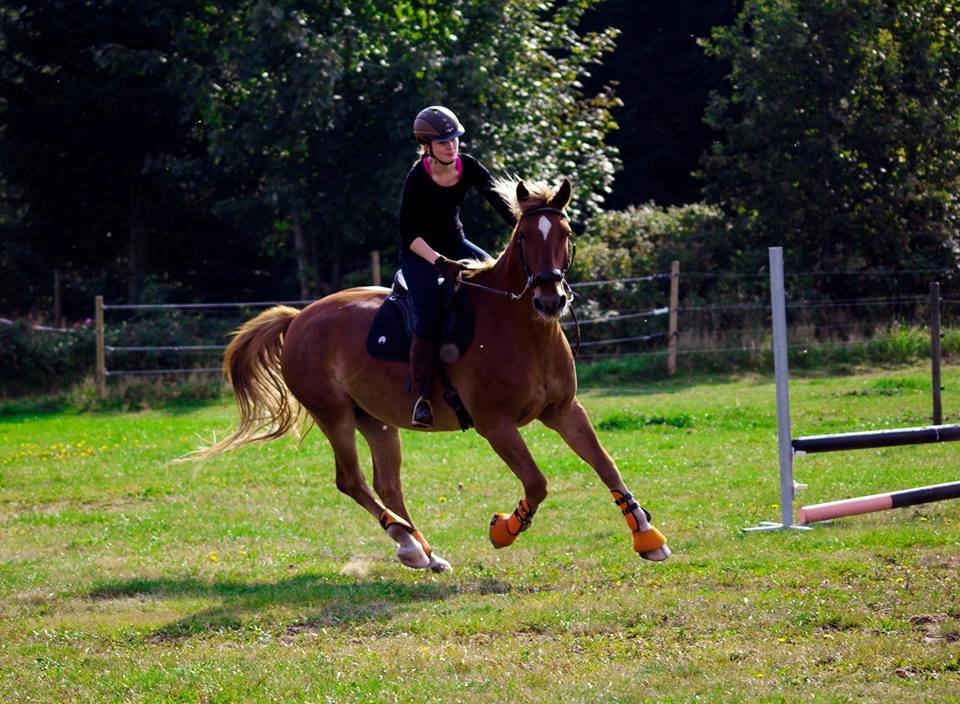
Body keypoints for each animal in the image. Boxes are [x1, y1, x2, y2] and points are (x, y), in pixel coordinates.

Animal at [191, 177, 672, 572]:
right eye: (523, 240)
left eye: (566, 235)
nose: (550, 301)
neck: (521, 329)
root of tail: (298, 319)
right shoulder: (495, 425)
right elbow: (536, 483)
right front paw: (503, 529)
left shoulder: (564, 410)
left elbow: (605, 464)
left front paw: (647, 536)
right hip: (334, 415)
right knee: (352, 481)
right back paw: (406, 543)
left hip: (376, 420)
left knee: (387, 484)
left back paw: (424, 552)